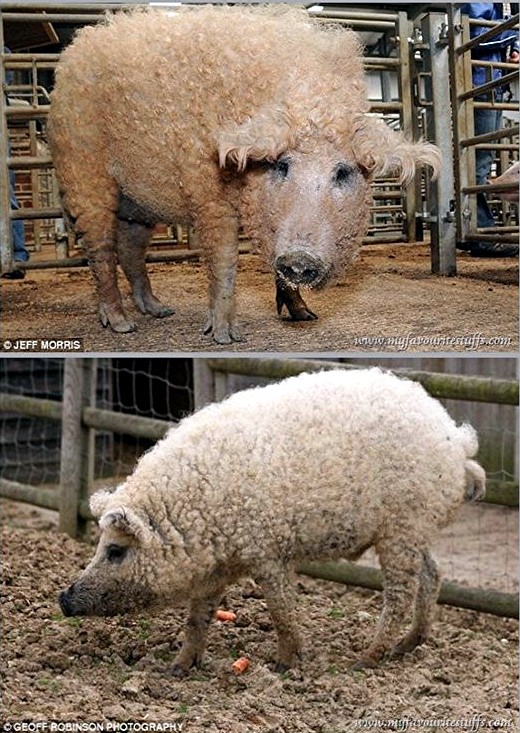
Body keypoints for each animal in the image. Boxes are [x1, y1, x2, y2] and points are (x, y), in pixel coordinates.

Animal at [47, 5, 441, 344]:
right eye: (282, 165)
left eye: (342, 172)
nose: (300, 259)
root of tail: (74, 52)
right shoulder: (208, 193)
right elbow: (224, 260)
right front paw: (225, 336)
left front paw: (304, 315)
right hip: (85, 173)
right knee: (101, 248)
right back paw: (122, 324)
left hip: (139, 203)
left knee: (130, 249)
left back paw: (159, 310)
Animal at [59, 368, 485, 675]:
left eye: (115, 551)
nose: (64, 599)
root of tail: (456, 439)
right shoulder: (215, 570)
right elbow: (197, 617)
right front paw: (176, 669)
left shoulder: (267, 551)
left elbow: (281, 608)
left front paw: (284, 666)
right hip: (417, 529)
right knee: (433, 573)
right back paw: (407, 646)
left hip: (402, 528)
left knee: (399, 593)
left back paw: (365, 659)